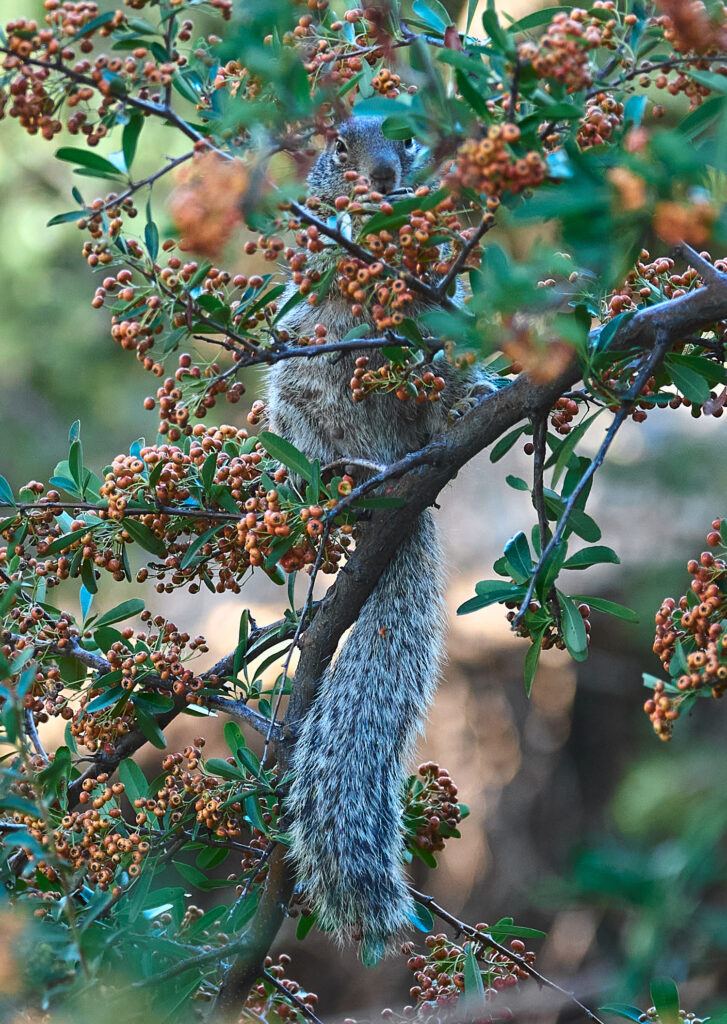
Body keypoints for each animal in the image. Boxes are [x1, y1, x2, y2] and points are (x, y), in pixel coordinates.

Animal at [266, 116, 491, 950]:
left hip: (436, 384)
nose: (385, 178)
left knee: (443, 388)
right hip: (297, 396)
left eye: (412, 139)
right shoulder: (309, 251)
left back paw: (460, 407)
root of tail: (398, 468)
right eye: (336, 146)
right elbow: (329, 261)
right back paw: (342, 479)